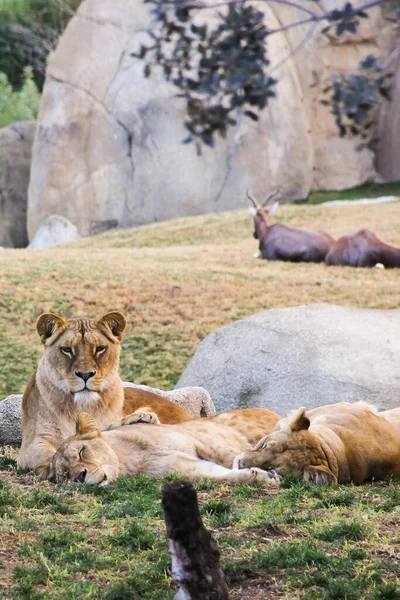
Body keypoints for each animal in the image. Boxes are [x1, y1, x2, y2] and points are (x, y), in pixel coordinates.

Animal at [35, 412, 282, 488]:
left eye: (81, 452)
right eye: (65, 475)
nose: (79, 477)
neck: (129, 459)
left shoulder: (197, 439)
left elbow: (231, 456)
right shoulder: (183, 468)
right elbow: (222, 476)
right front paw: (261, 477)